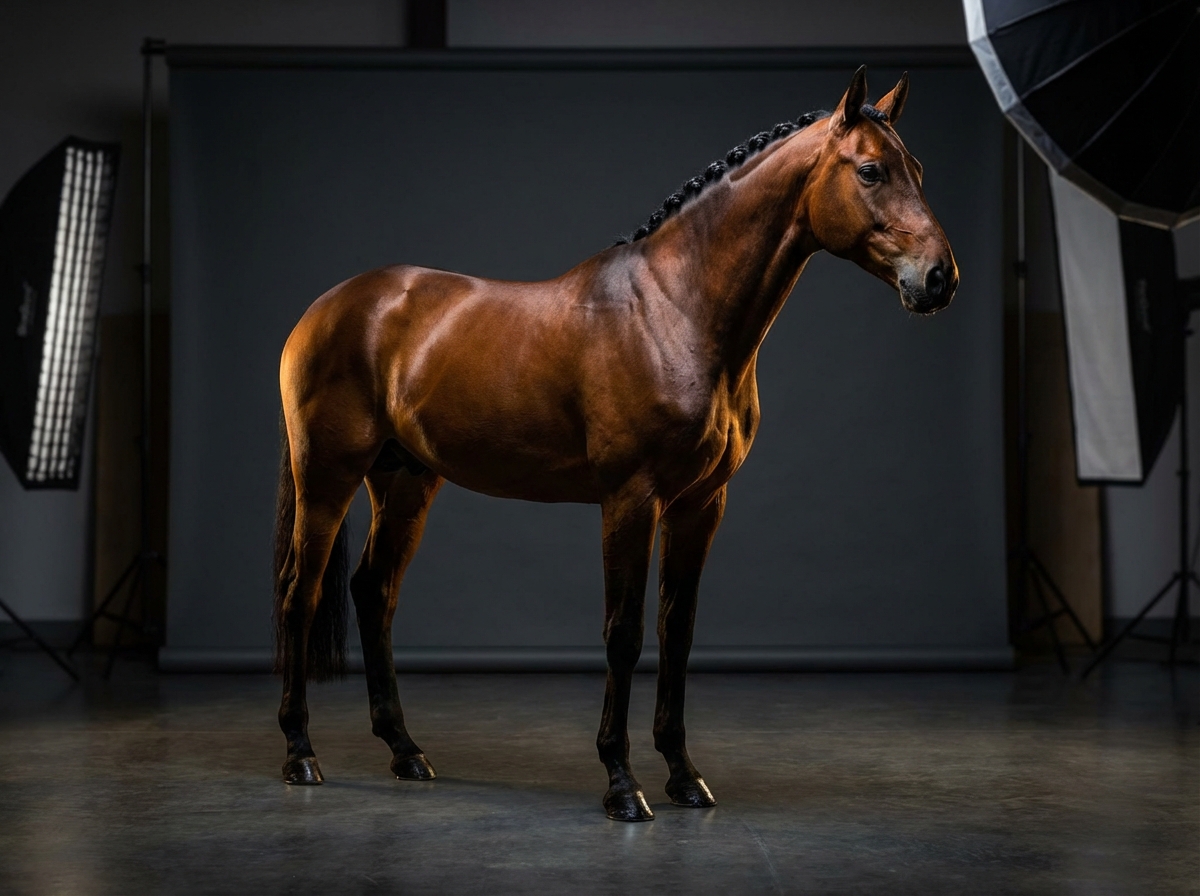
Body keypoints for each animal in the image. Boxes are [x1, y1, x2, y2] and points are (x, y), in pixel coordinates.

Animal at [272, 66, 958, 822]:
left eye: (917, 171)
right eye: (869, 170)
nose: (938, 278)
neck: (674, 310)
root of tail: (327, 308)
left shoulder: (700, 505)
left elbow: (676, 631)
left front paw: (685, 775)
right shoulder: (631, 500)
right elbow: (624, 633)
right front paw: (622, 783)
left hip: (405, 481)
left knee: (374, 593)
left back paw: (405, 751)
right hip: (327, 475)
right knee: (301, 593)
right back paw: (300, 753)